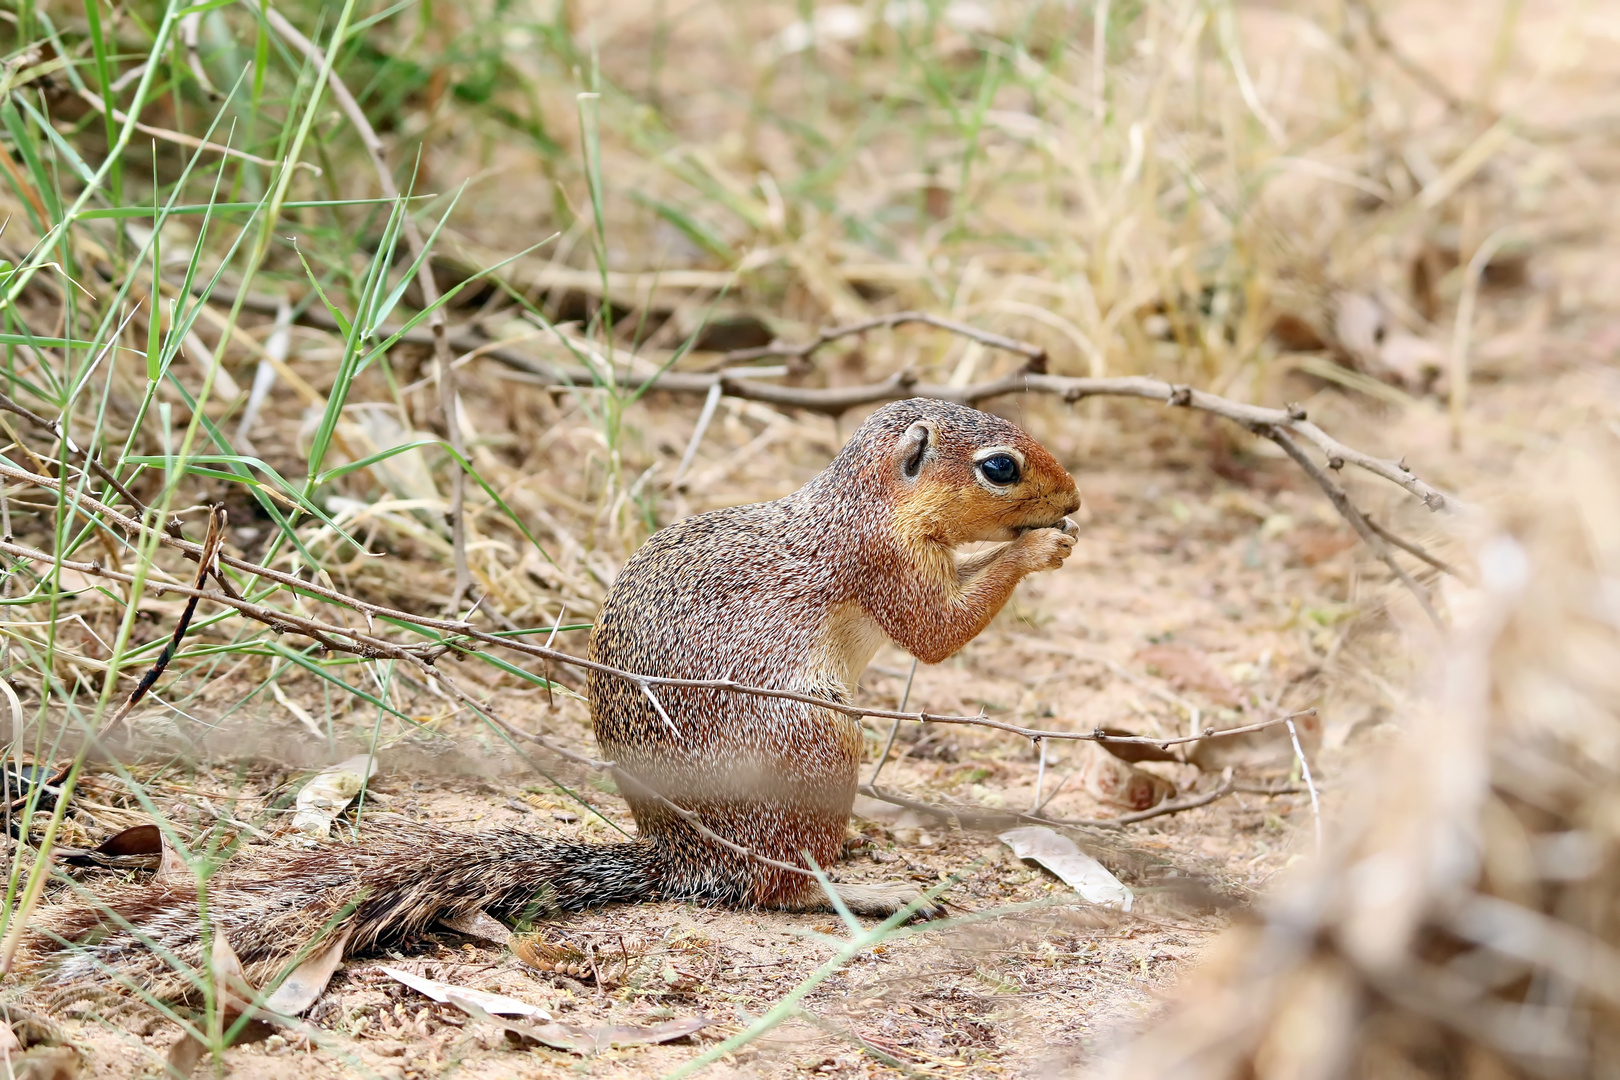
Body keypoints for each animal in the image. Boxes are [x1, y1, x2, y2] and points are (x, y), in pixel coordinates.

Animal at [28, 399, 1075, 997]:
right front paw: (1038, 551)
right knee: (775, 890)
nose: (1075, 498)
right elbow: (935, 633)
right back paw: (859, 887)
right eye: (999, 468)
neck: (861, 502)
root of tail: (683, 865)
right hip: (816, 743)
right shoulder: (878, 561)